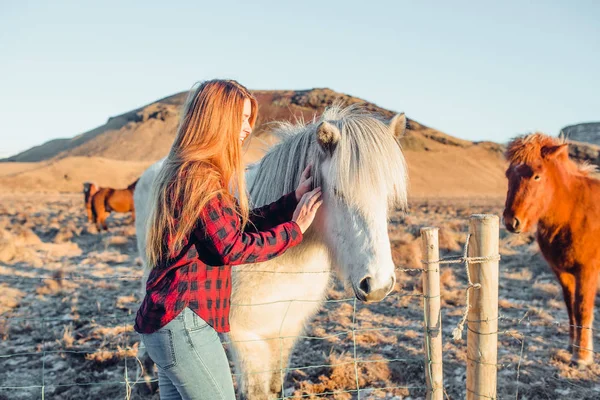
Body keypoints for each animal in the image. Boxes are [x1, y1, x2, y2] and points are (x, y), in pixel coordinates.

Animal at [504, 133, 596, 368]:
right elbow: (570, 307)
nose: (511, 222)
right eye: (508, 175)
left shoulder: (587, 272)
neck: (574, 212)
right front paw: (572, 346)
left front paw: (582, 356)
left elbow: (582, 309)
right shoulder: (562, 272)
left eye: (537, 176)